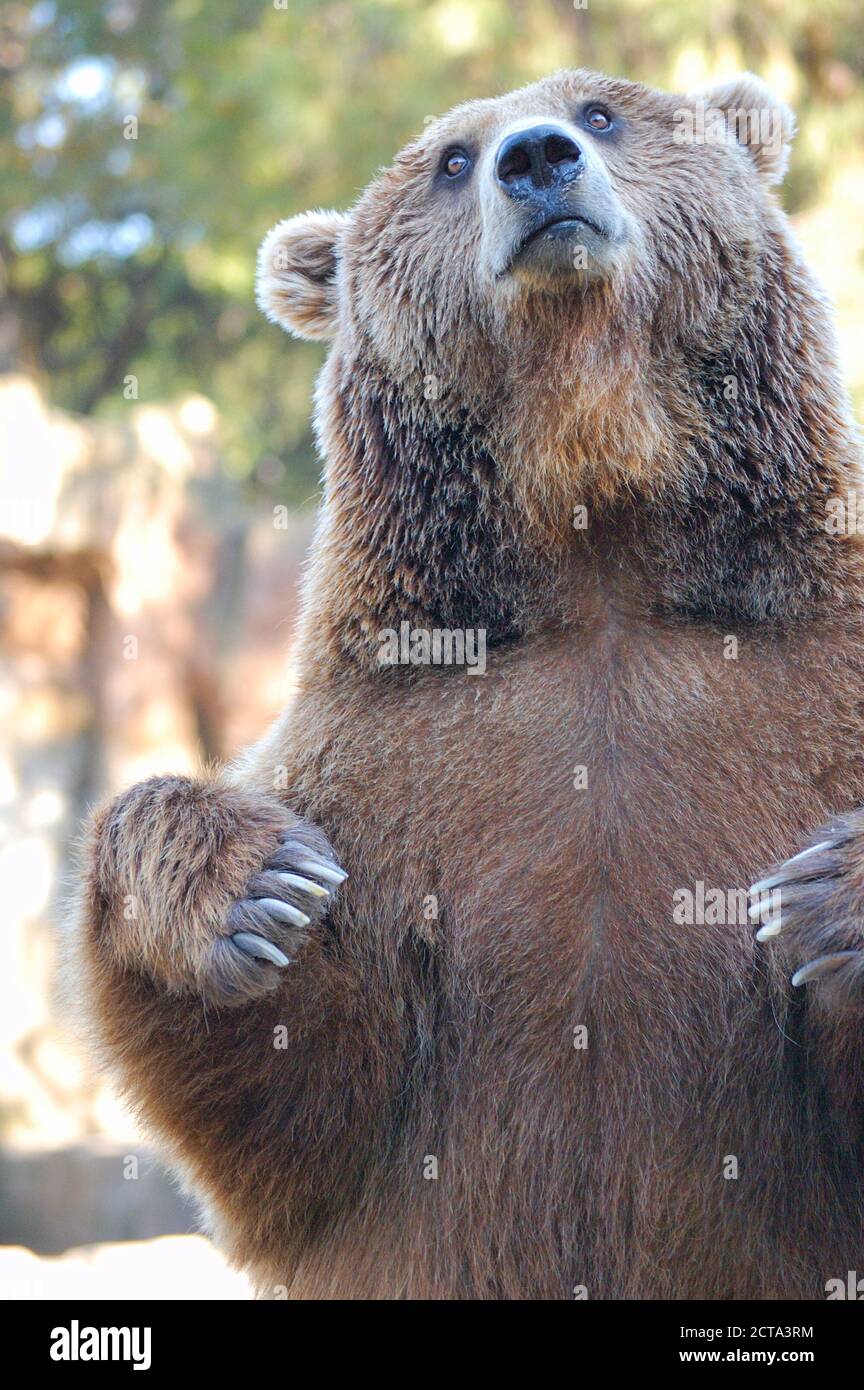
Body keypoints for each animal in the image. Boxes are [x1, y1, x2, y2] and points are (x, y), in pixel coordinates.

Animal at [72, 70, 864, 1295]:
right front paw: (248, 885)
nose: (534, 159)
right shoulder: (395, 758)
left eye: (600, 115)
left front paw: (827, 889)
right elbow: (301, 1105)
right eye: (450, 160)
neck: (598, 548)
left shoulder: (809, 692)